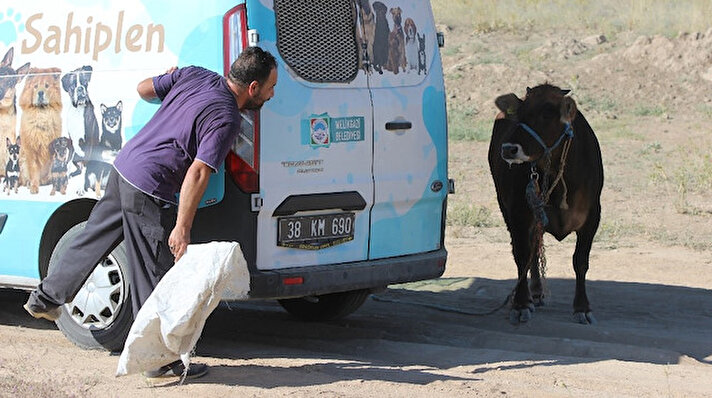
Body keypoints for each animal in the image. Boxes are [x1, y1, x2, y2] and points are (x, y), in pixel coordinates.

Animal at [490, 84, 600, 324]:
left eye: (547, 114)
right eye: (519, 115)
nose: (508, 149)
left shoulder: (592, 218)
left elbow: (580, 261)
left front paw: (582, 307)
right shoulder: (519, 214)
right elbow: (522, 256)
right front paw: (521, 303)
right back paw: (534, 293)